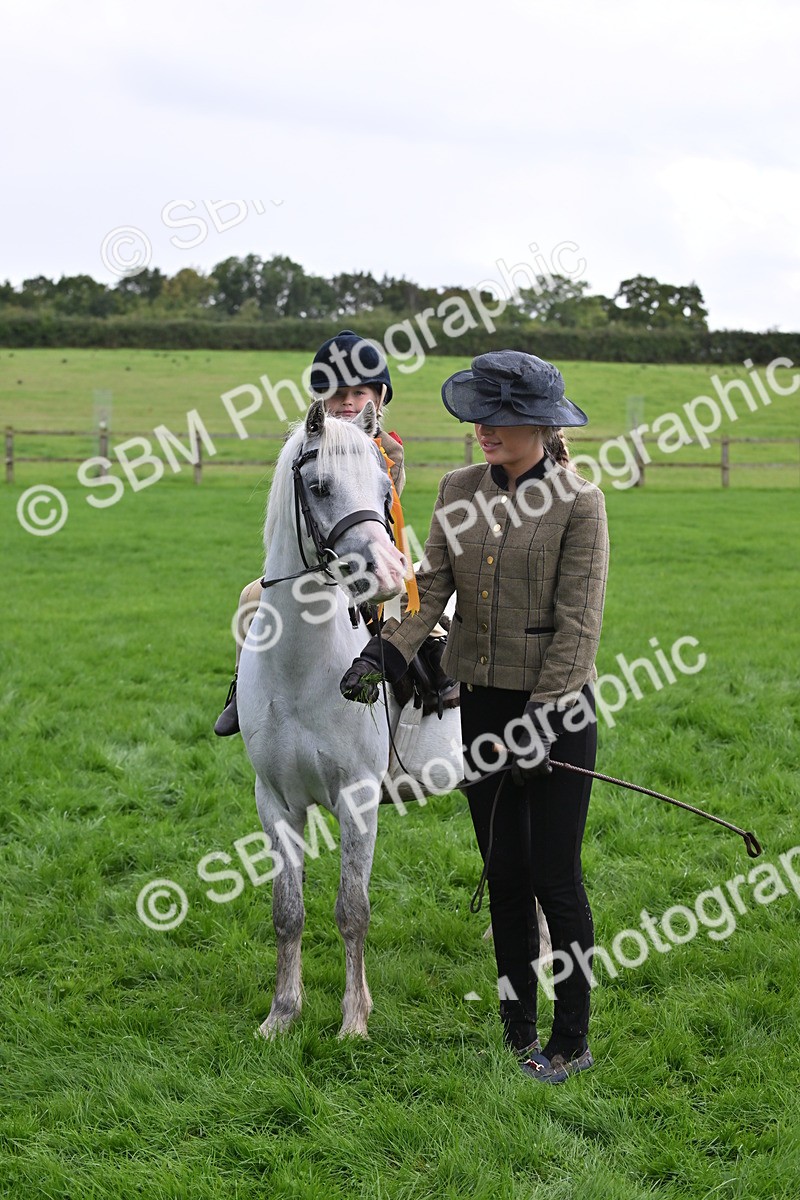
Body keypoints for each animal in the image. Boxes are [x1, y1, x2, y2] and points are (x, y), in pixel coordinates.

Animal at [237, 399, 463, 1038]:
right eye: (319, 486)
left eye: (385, 489)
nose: (387, 574)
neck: (299, 673)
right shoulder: (275, 804)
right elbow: (287, 911)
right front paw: (281, 1015)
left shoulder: (357, 800)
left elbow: (352, 909)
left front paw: (354, 1020)